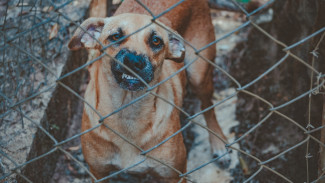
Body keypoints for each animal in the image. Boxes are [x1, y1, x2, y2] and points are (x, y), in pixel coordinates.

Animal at [68, 0, 228, 181]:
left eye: (156, 41)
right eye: (116, 36)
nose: (134, 61)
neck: (128, 111)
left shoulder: (175, 175)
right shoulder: (98, 173)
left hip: (199, 75)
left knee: (208, 108)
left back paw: (218, 143)